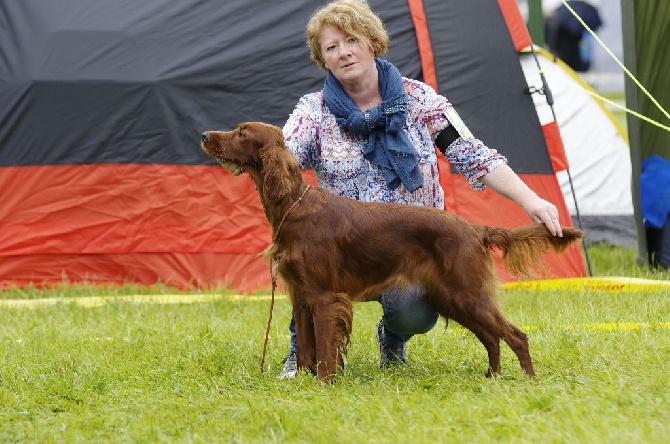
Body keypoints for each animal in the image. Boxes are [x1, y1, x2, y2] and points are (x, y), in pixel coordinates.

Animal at [202, 121, 584, 382]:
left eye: (241, 133)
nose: (205, 135)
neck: (294, 208)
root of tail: (473, 228)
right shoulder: (301, 295)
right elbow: (307, 346)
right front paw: (304, 381)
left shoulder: (325, 296)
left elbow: (325, 347)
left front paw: (324, 384)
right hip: (451, 297)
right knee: (491, 336)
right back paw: (493, 378)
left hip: (467, 292)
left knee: (515, 335)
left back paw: (528, 381)